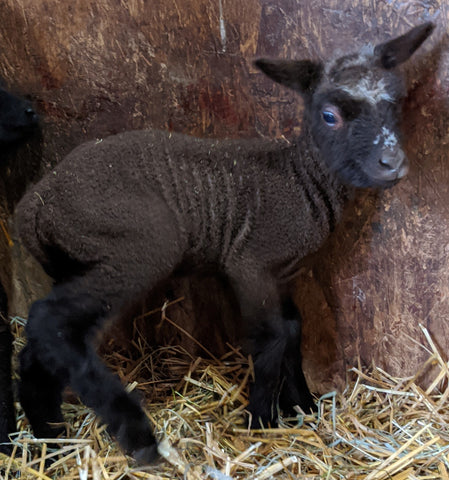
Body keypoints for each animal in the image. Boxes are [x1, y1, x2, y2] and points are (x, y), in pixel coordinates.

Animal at [15, 22, 432, 464]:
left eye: (397, 101)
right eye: (329, 115)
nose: (392, 164)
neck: (301, 180)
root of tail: (34, 203)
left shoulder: (282, 273)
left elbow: (293, 329)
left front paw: (301, 405)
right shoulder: (249, 263)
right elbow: (274, 337)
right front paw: (261, 420)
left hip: (72, 260)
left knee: (43, 342)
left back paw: (48, 441)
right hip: (134, 244)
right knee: (52, 322)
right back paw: (136, 435)